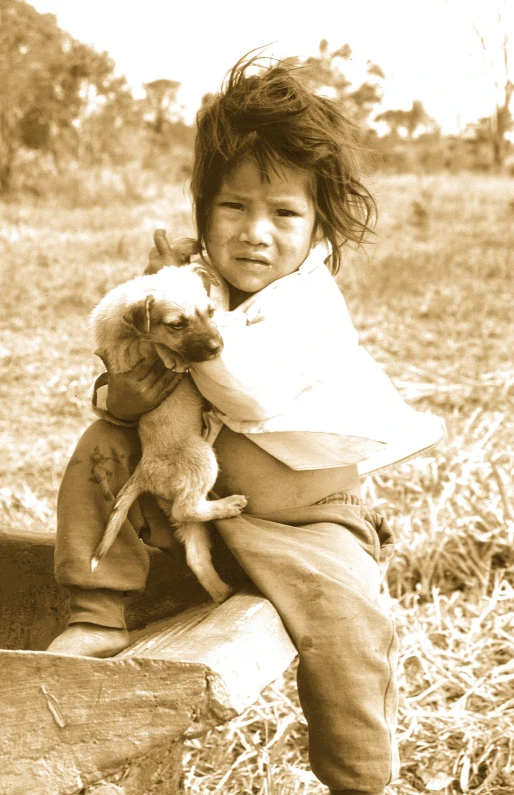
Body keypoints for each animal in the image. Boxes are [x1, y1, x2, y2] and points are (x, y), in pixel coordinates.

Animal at [89, 243, 246, 604]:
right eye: (177, 324)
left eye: (209, 313)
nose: (217, 349)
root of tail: (144, 471)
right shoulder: (124, 347)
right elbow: (149, 343)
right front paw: (172, 357)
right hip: (201, 461)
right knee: (187, 510)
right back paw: (230, 504)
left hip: (182, 508)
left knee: (194, 551)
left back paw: (223, 593)